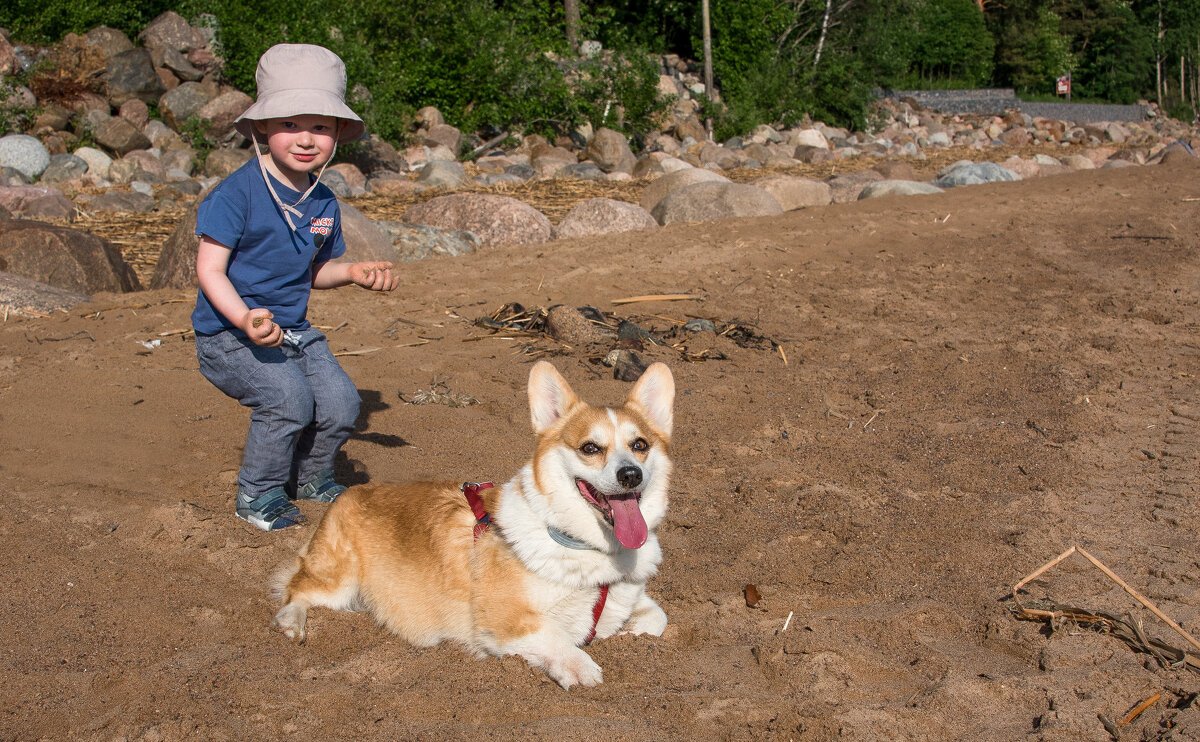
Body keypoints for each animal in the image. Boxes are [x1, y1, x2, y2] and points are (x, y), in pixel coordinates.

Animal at [274, 357, 681, 686]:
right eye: (590, 448)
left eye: (640, 445)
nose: (630, 475)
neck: (589, 547)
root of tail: (348, 492)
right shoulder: (505, 621)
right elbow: (557, 639)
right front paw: (581, 668)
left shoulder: (633, 597)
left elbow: (656, 618)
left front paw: (629, 634)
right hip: (338, 579)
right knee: (295, 589)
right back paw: (292, 623)